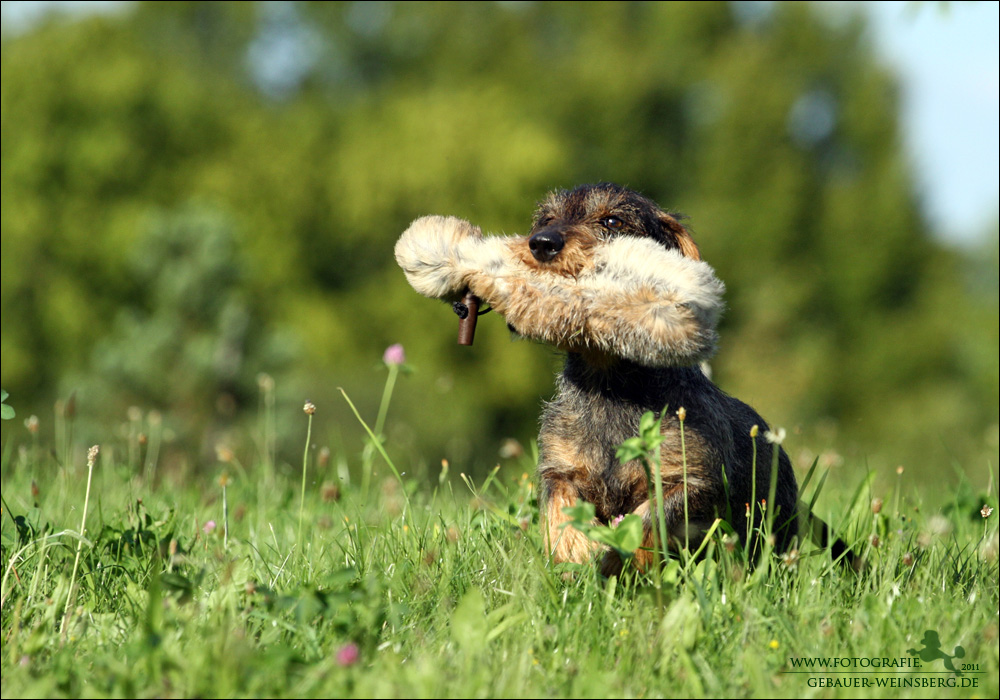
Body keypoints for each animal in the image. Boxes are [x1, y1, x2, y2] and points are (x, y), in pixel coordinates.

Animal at [394, 185, 800, 576]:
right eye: (546, 219)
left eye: (612, 221)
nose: (541, 243)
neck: (609, 386)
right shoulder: (559, 468)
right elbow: (559, 504)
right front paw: (577, 550)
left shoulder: (693, 479)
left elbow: (651, 518)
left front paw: (615, 559)